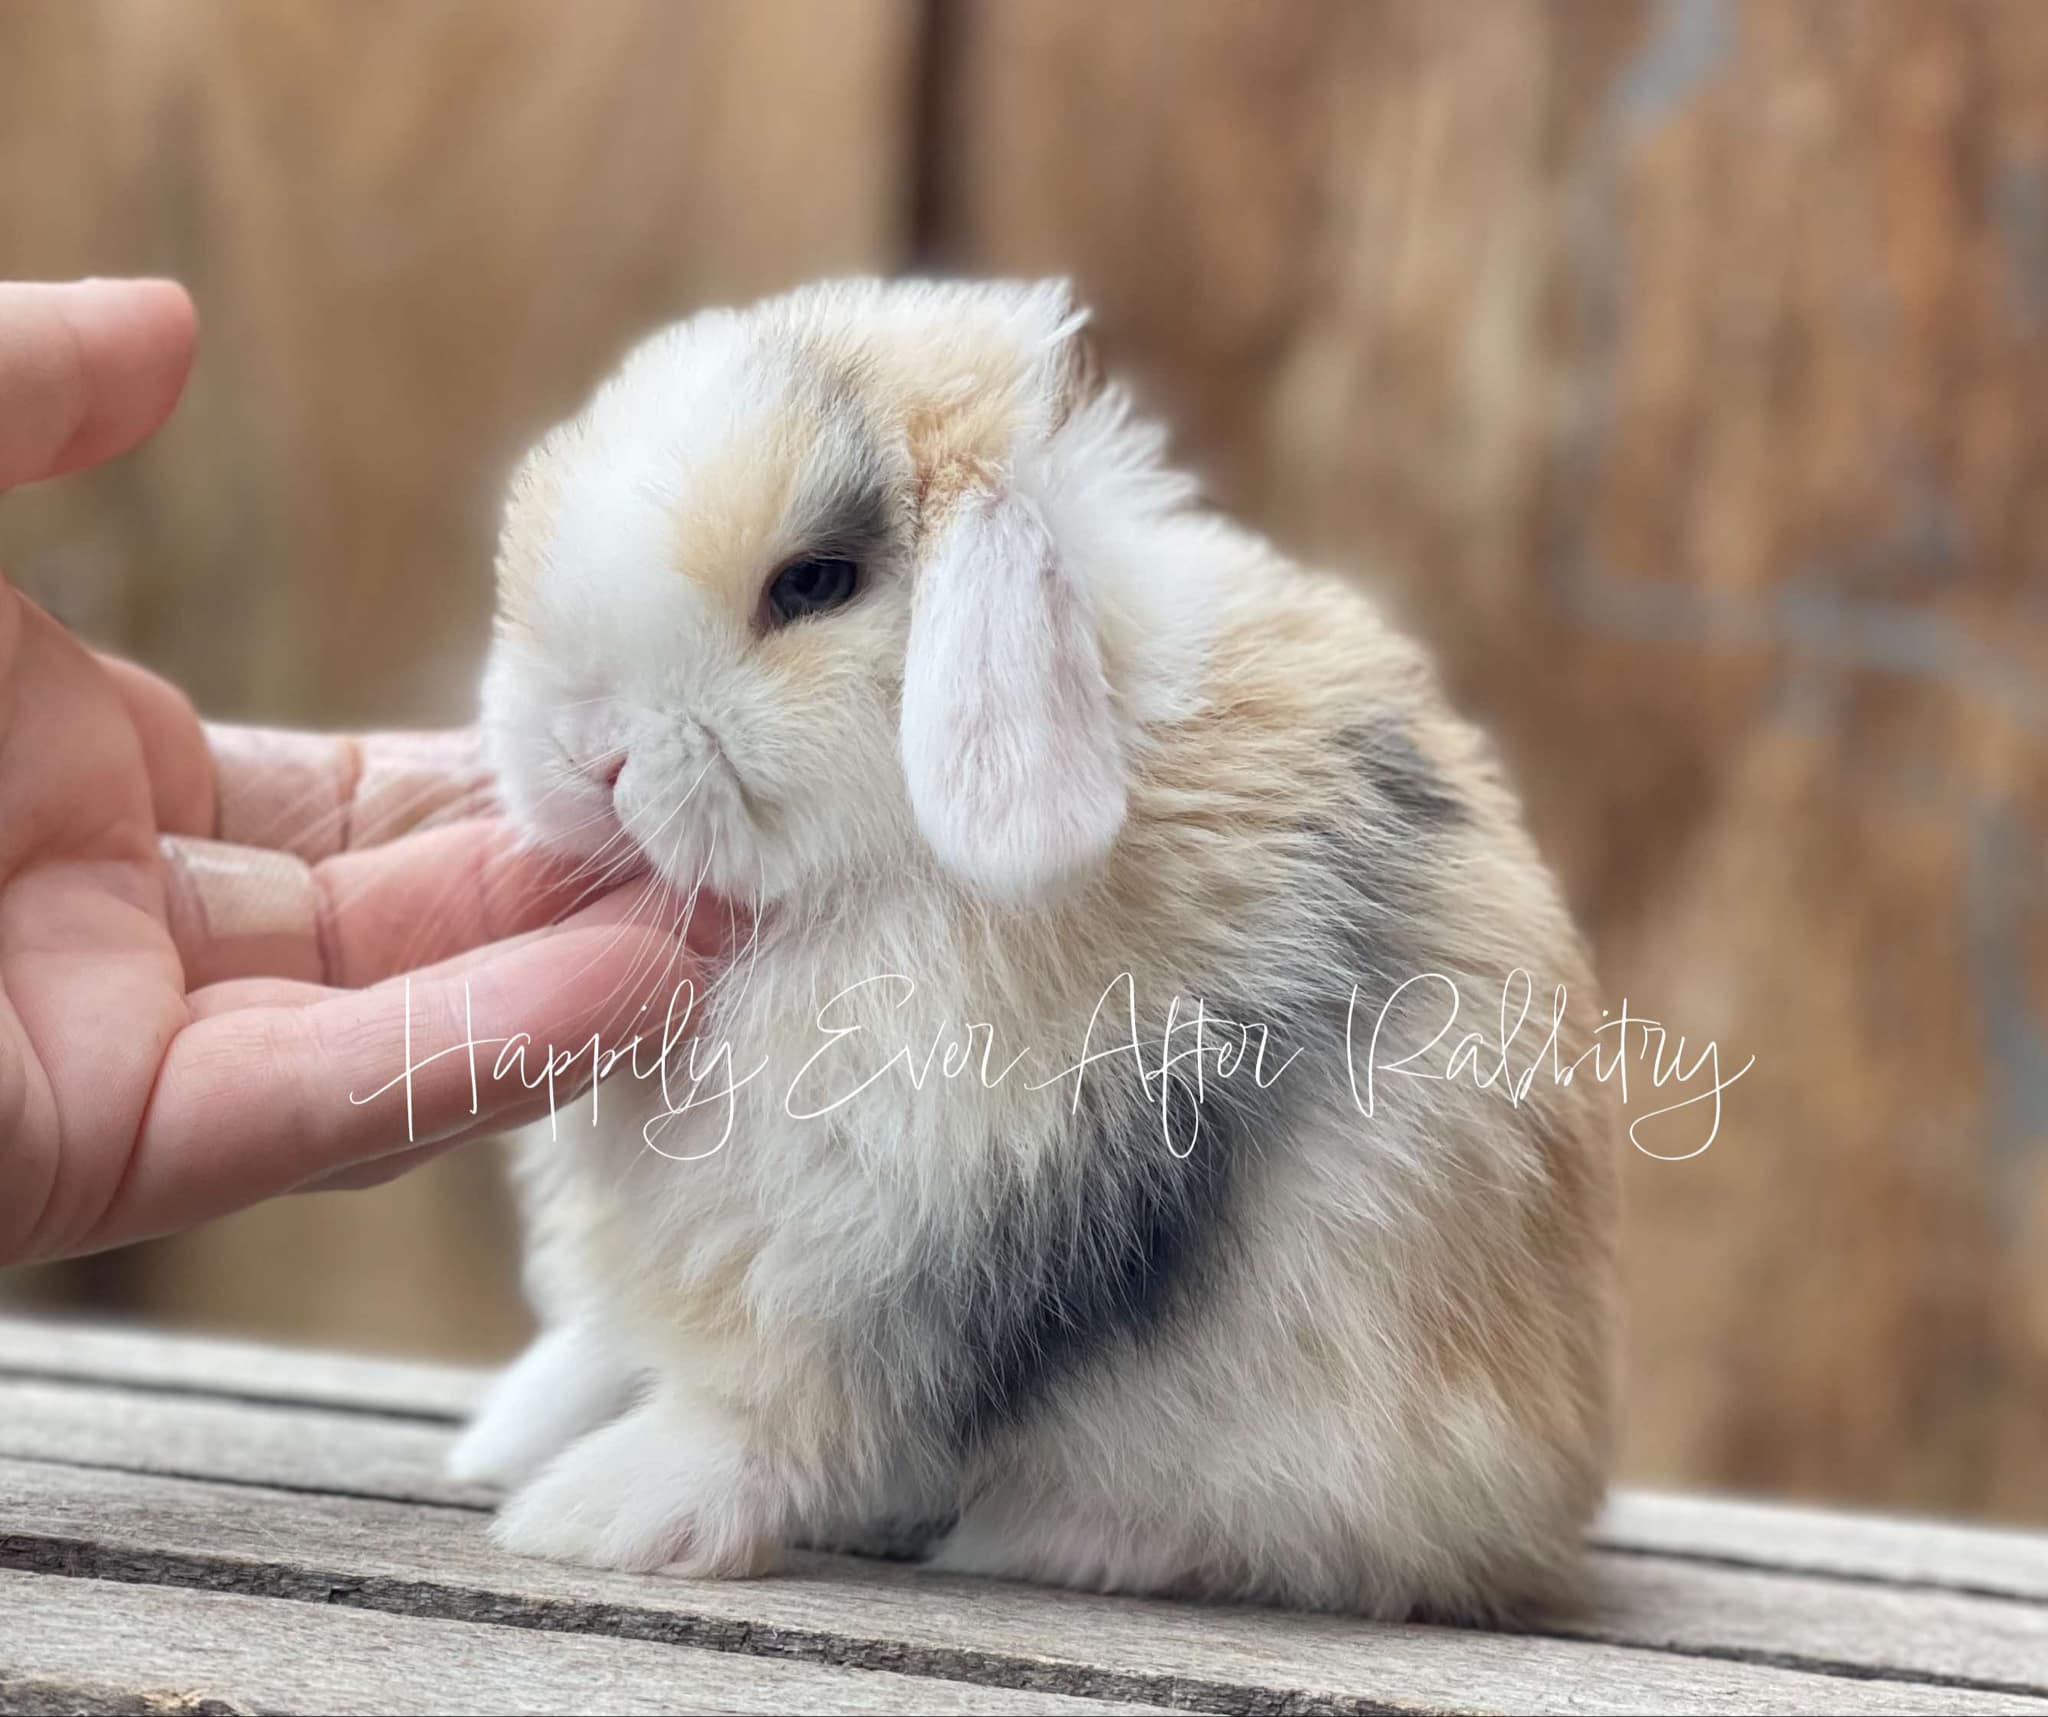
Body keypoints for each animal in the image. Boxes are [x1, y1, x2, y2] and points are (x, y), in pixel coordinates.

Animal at [448, 276, 1613, 1622]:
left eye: (813, 583)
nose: (583, 752)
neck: (873, 885)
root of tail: (1556, 1491)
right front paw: (517, 1444)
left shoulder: (905, 1247)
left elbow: (766, 1399)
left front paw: (594, 1517)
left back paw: (1053, 1532)